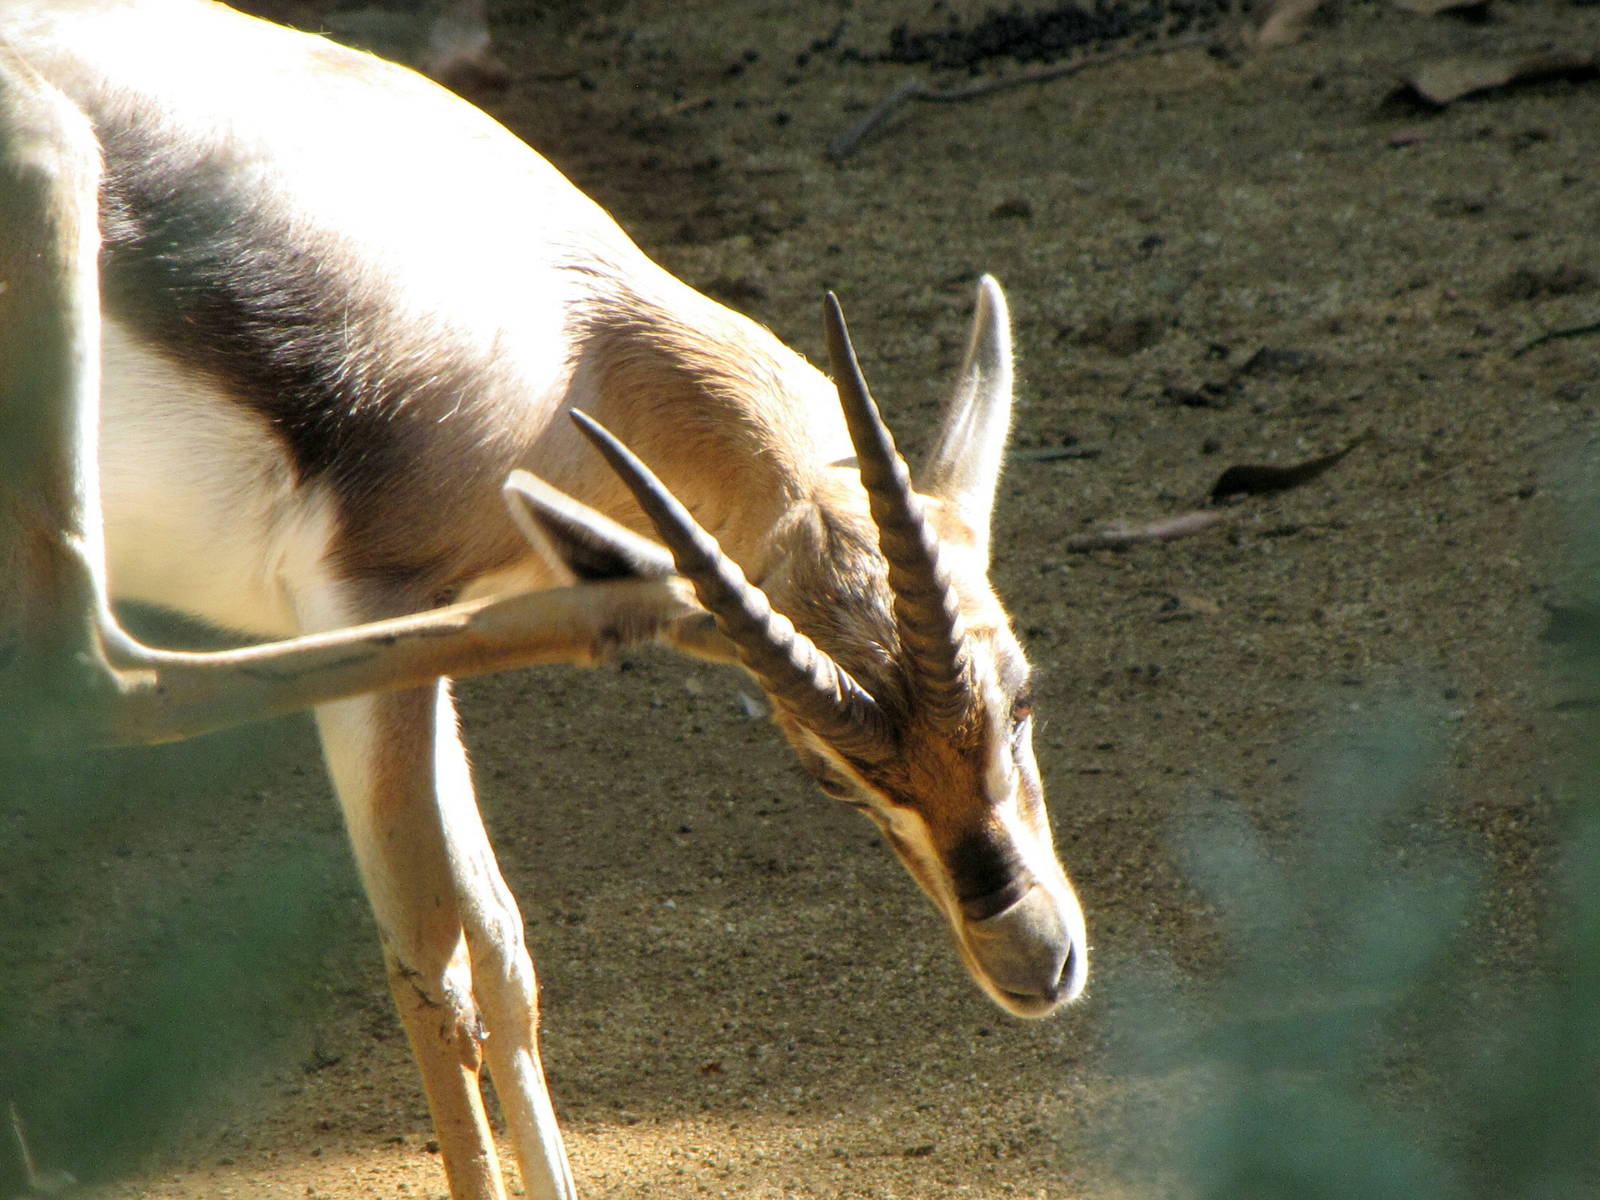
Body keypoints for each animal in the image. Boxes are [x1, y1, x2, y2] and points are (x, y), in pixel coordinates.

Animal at [0, 2, 1089, 1198]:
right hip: (47, 181)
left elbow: (502, 946)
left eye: (1024, 697)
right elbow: (430, 962)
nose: (1033, 955)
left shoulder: (411, 645)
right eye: (831, 772)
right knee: (84, 674)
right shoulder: (361, 607)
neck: (562, 325)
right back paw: (633, 602)